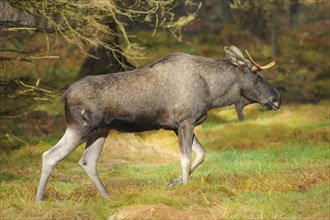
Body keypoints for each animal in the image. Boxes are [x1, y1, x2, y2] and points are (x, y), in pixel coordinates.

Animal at [36, 45, 280, 202]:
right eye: (258, 77)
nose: (277, 98)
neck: (214, 92)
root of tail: (65, 95)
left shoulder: (177, 126)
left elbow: (200, 155)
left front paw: (174, 183)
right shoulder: (185, 121)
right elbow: (186, 159)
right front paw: (185, 189)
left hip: (100, 131)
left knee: (87, 161)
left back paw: (107, 196)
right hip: (80, 127)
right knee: (50, 155)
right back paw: (39, 198)